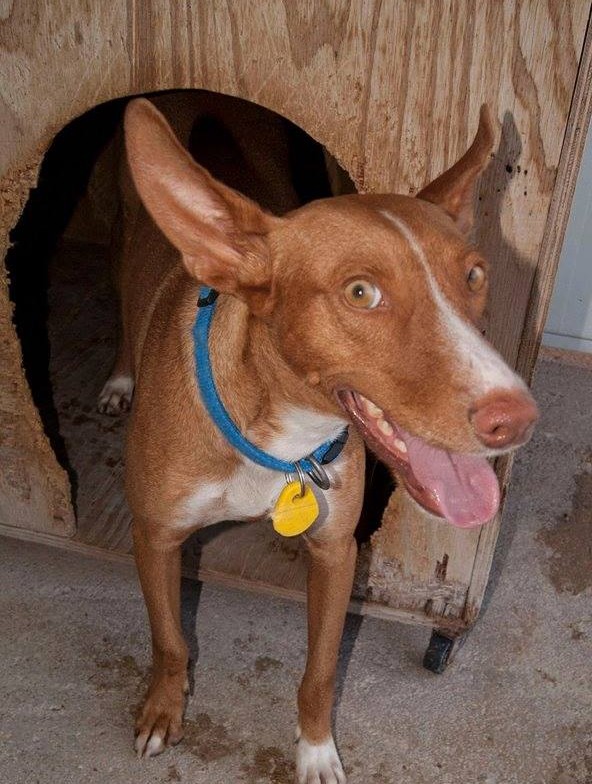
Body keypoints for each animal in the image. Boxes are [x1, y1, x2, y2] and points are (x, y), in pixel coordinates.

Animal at [98, 93, 538, 783]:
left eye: (474, 276)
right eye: (361, 292)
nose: (516, 419)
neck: (275, 438)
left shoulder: (336, 554)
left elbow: (320, 674)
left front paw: (315, 749)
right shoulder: (156, 536)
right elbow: (170, 643)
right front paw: (164, 711)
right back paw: (120, 377)